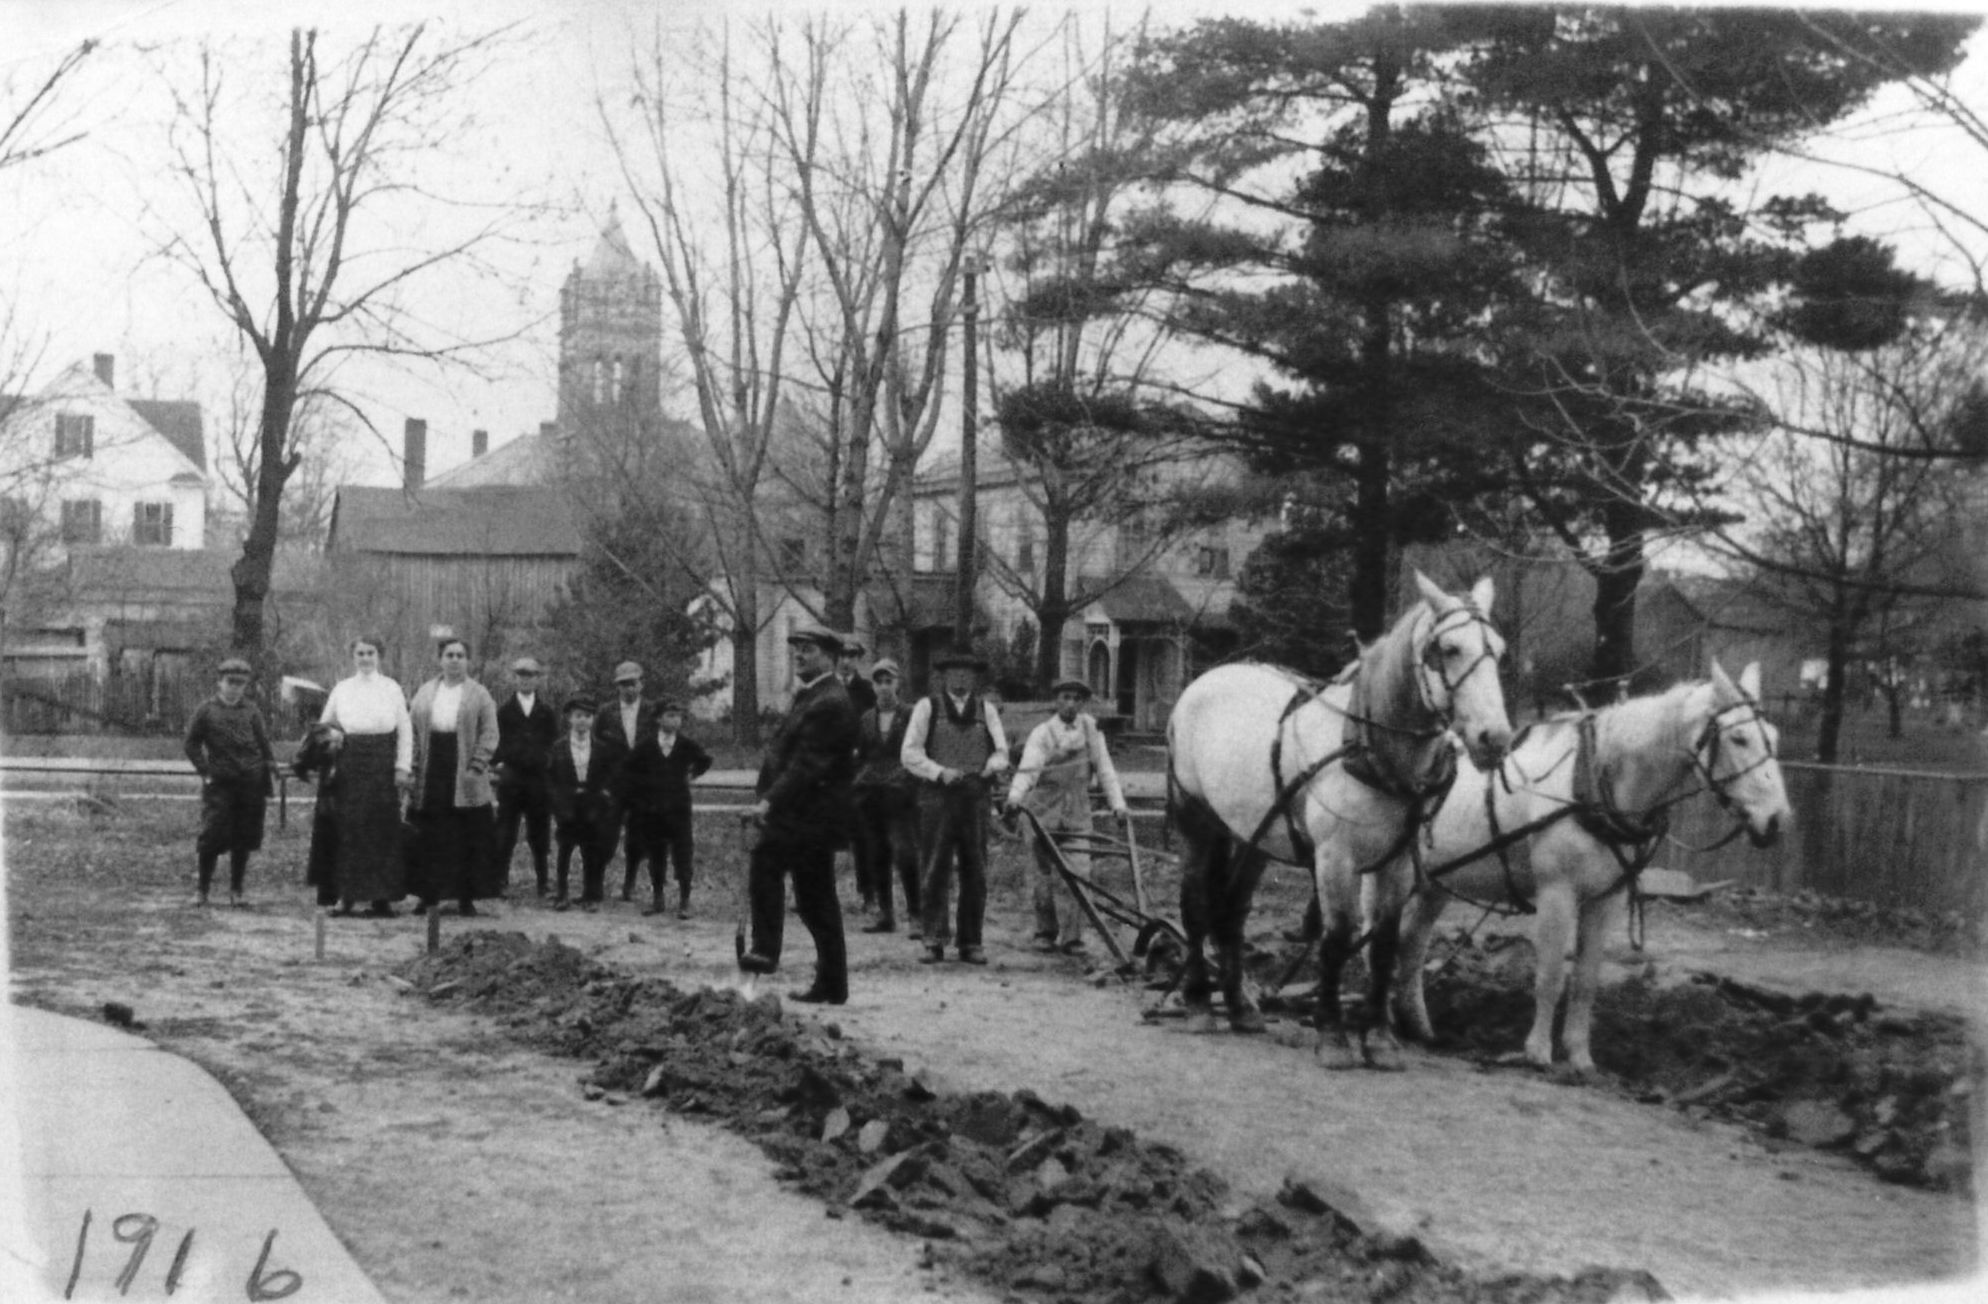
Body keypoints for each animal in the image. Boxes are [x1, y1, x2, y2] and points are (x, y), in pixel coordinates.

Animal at [1160, 576, 1502, 1065]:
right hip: (1197, 821)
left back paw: (1241, 1007)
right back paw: (1199, 1004)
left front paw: (1379, 1038)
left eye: (1500, 650)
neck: (1371, 749)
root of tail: (1206, 679)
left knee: (1233, 911)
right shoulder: (1335, 857)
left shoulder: (1397, 861)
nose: (1495, 737)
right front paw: (1333, 1035)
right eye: (1450, 648)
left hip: (1253, 834)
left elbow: (1383, 941)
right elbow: (1338, 937)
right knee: (1195, 907)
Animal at [1391, 655, 1797, 1073]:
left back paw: (1417, 1026)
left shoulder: (1607, 899)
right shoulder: (1557, 893)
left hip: (1433, 885)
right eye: (1739, 738)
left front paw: (1579, 1057)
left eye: (1773, 736)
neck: (1594, 782)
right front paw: (1538, 1052)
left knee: (1412, 943)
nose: (1777, 819)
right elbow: (1552, 975)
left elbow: (1585, 980)